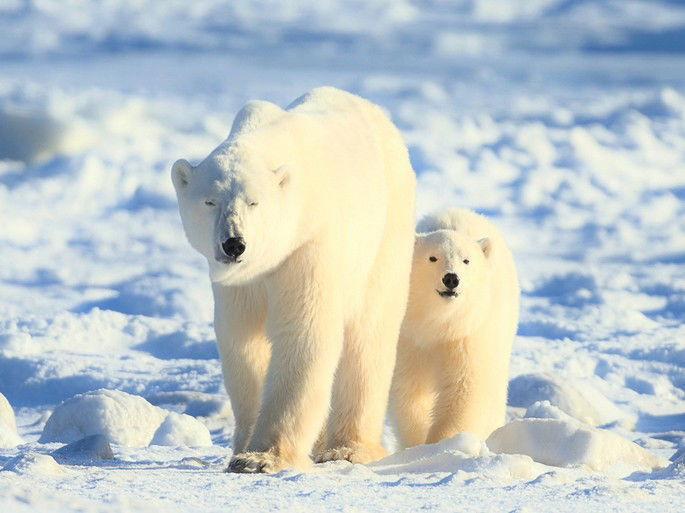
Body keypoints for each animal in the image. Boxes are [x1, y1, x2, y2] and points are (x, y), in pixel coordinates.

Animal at [171, 85, 416, 472]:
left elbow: (303, 333)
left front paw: (262, 458)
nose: (234, 243)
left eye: (253, 202)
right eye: (209, 201)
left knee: (368, 335)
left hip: (382, 239)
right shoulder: (238, 284)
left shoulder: (308, 247)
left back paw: (348, 448)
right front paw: (241, 448)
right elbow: (242, 340)